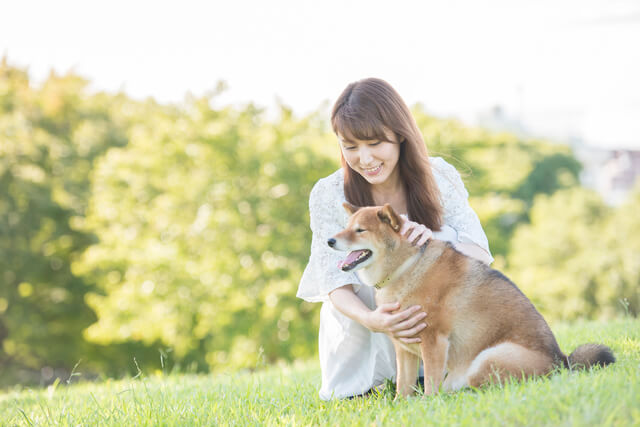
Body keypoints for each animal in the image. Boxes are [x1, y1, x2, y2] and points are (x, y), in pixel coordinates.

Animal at [330, 204, 616, 398]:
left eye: (360, 230)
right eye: (345, 227)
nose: (329, 240)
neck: (406, 266)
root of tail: (562, 363)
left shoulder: (434, 341)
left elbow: (430, 382)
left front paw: (427, 404)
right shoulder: (404, 347)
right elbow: (403, 386)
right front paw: (402, 405)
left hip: (487, 359)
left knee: (481, 388)